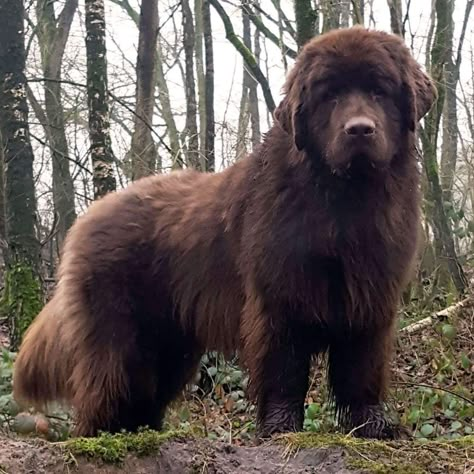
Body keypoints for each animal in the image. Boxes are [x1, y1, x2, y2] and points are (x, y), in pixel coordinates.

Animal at [13, 26, 436, 440]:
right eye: (329, 96)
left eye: (379, 91)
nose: (359, 129)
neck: (344, 201)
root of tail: (86, 218)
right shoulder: (278, 300)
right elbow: (284, 370)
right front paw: (280, 429)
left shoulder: (370, 299)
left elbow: (362, 370)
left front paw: (374, 427)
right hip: (118, 337)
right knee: (104, 390)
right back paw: (100, 438)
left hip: (170, 346)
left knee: (142, 395)